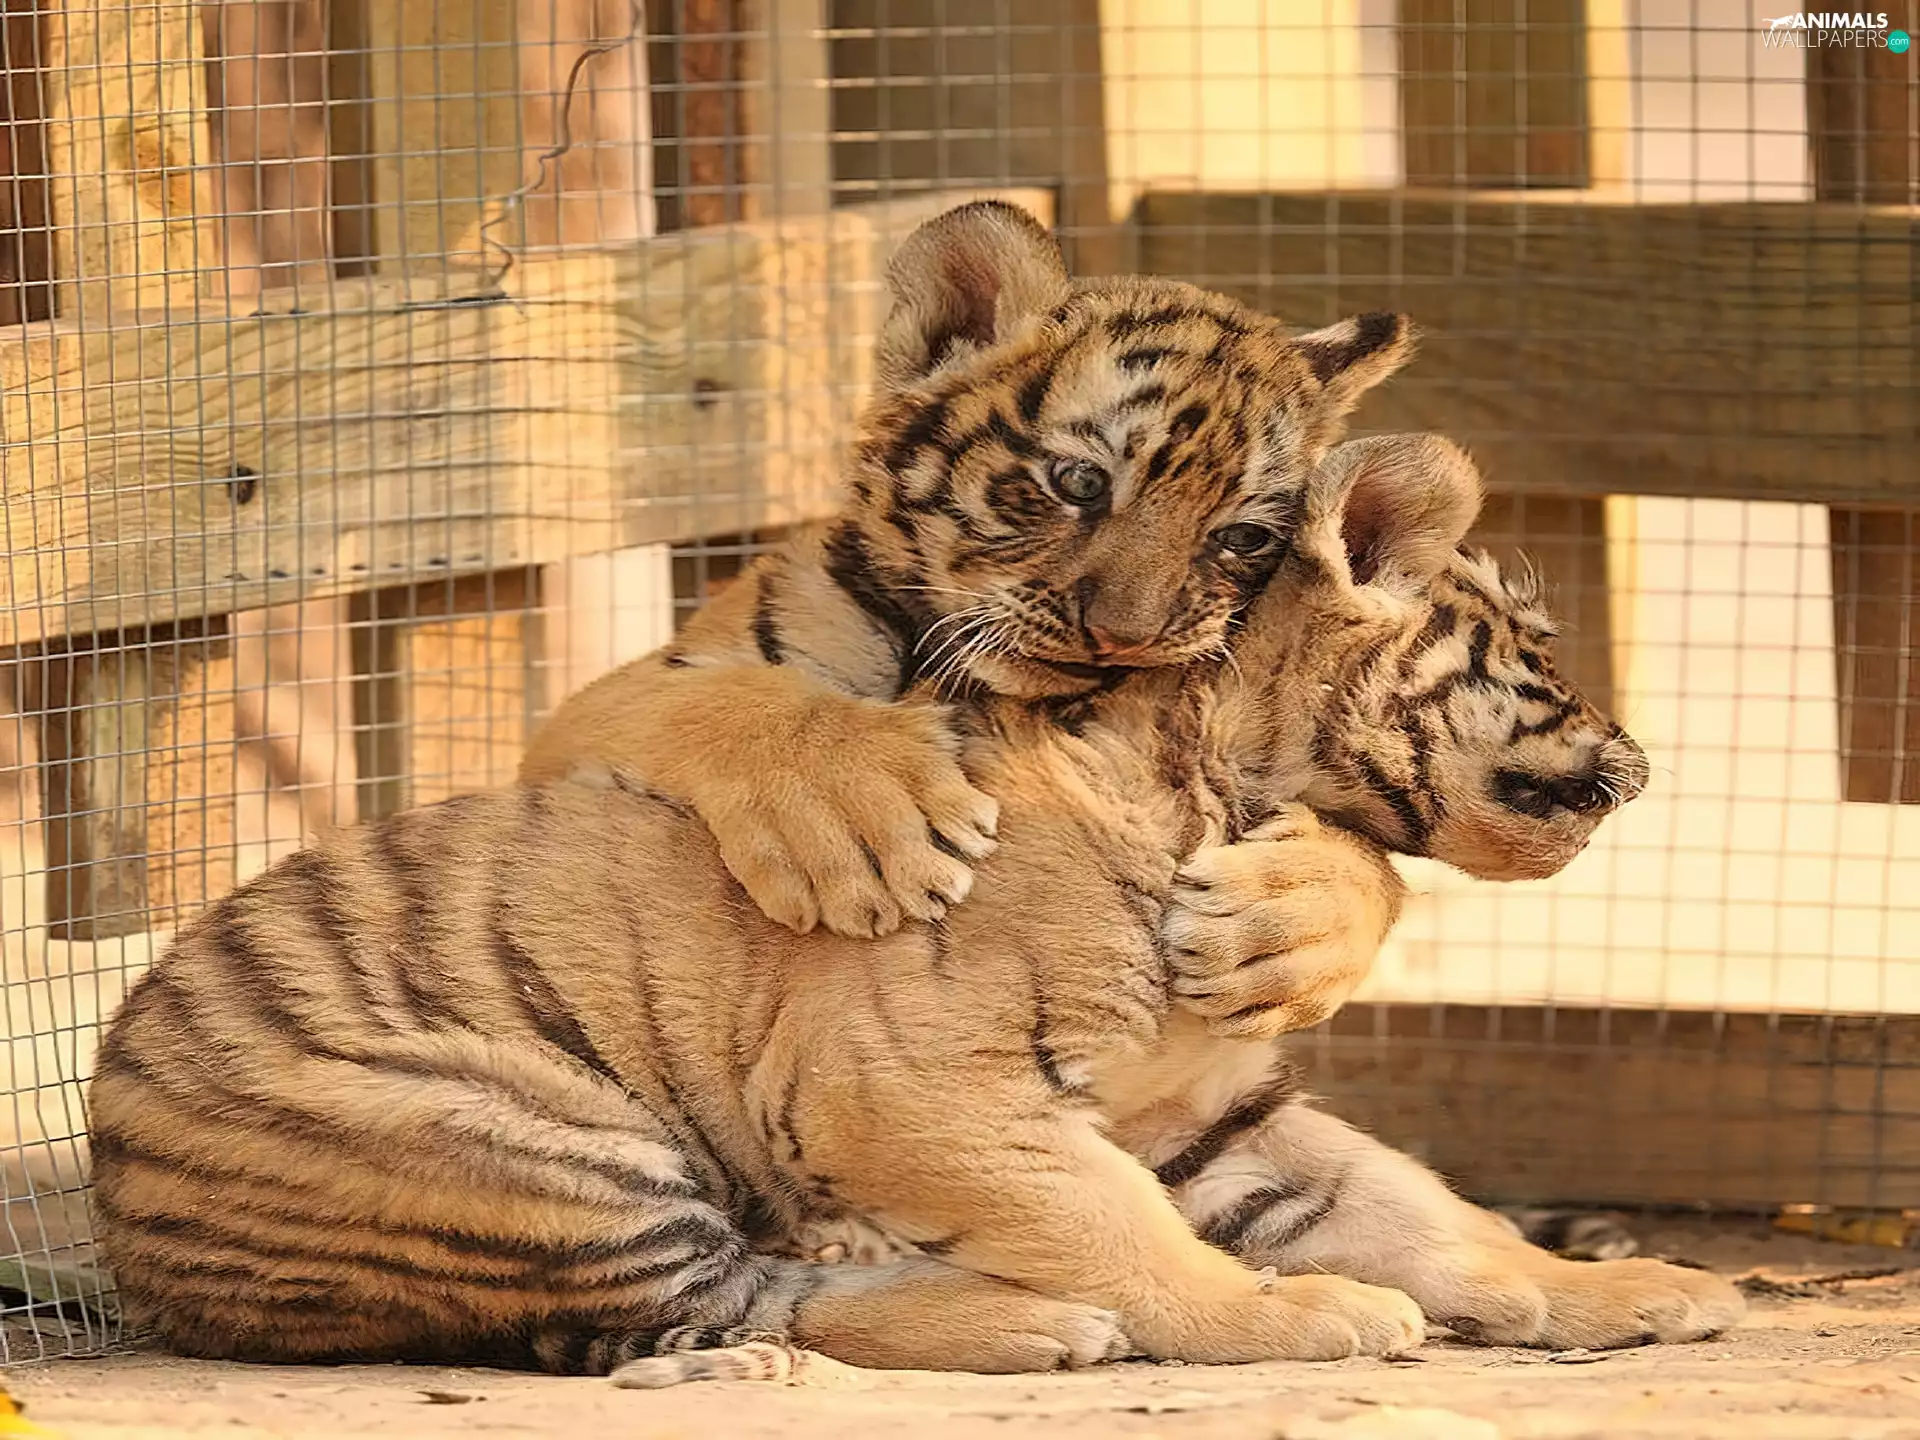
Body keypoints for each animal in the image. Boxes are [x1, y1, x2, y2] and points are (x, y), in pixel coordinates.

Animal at [87, 432, 1743, 1380]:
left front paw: (1612, 1287)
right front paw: (1288, 1315)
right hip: (536, 1133)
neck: (1233, 787)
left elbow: (1417, 1206)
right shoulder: (922, 1096)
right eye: (1534, 645)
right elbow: (1123, 1226)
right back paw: (1034, 1324)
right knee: (751, 1300)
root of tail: (128, 1248)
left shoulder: (1213, 1106)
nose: (1645, 768)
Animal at [518, 199, 1423, 1045]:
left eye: (1242, 537)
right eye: (1080, 481)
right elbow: (732, 699)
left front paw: (1298, 921)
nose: (1123, 637)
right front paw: (867, 816)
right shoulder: (569, 726)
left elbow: (1364, 860)